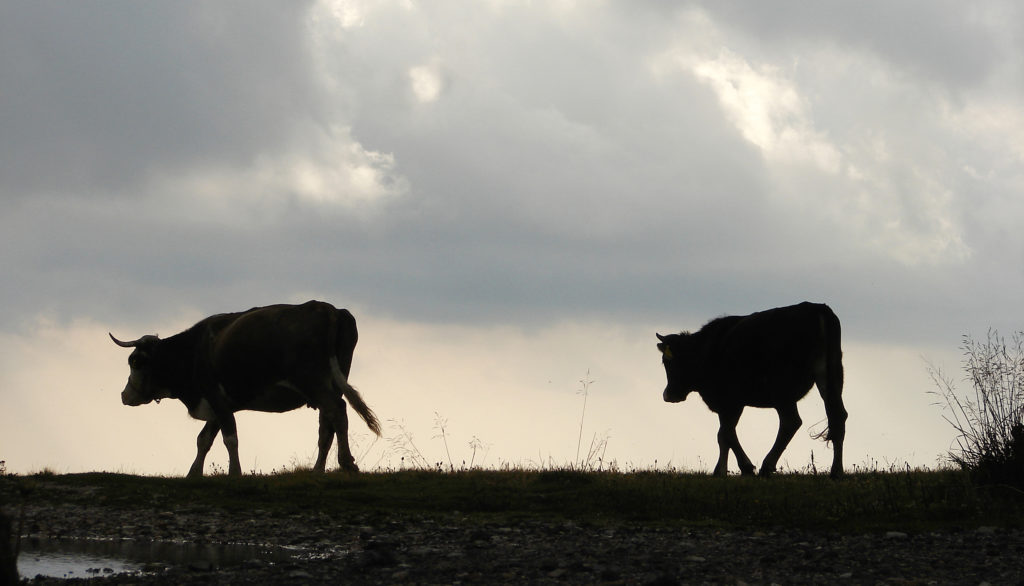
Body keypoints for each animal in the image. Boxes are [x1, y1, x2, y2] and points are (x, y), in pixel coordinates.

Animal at [110, 301, 381, 477]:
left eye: (135, 361)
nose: (124, 395)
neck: (194, 351)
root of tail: (328, 309)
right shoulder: (219, 404)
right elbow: (204, 439)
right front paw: (193, 473)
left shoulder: (215, 396)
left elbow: (229, 437)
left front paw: (235, 472)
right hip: (331, 381)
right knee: (328, 421)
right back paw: (318, 469)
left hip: (312, 380)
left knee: (336, 411)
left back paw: (345, 463)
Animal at [656, 302, 846, 478]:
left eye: (667, 361)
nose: (668, 395)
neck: (707, 350)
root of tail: (816, 308)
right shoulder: (734, 404)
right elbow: (723, 435)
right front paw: (721, 470)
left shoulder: (728, 401)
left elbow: (726, 433)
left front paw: (745, 467)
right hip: (831, 377)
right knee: (838, 416)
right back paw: (836, 471)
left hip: (782, 389)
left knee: (791, 422)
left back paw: (767, 466)